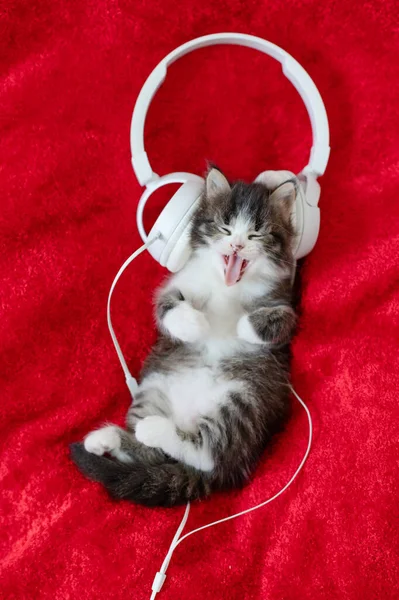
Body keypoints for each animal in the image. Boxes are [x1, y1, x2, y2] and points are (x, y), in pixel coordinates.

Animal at [71, 168, 296, 506]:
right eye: (225, 227)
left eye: (256, 235)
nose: (237, 246)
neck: (226, 287)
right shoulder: (176, 286)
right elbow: (167, 307)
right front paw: (195, 325)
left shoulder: (285, 305)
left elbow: (273, 321)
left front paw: (238, 326)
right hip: (153, 388)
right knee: (152, 456)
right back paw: (107, 439)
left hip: (244, 400)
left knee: (207, 452)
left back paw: (151, 431)